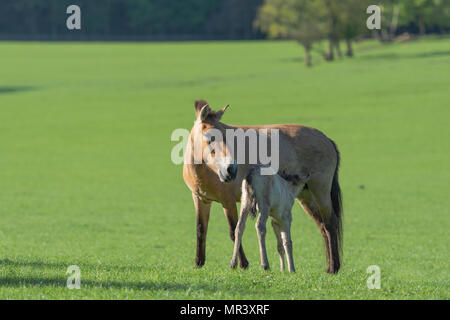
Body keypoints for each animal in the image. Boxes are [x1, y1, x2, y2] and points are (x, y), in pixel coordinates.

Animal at [181, 99, 342, 272]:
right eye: (210, 137)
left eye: (227, 137)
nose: (231, 169)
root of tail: (327, 140)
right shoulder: (200, 199)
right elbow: (201, 229)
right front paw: (198, 263)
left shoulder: (228, 201)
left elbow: (233, 230)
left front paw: (243, 264)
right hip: (306, 195)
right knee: (322, 225)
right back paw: (329, 266)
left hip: (320, 192)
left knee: (330, 223)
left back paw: (334, 268)